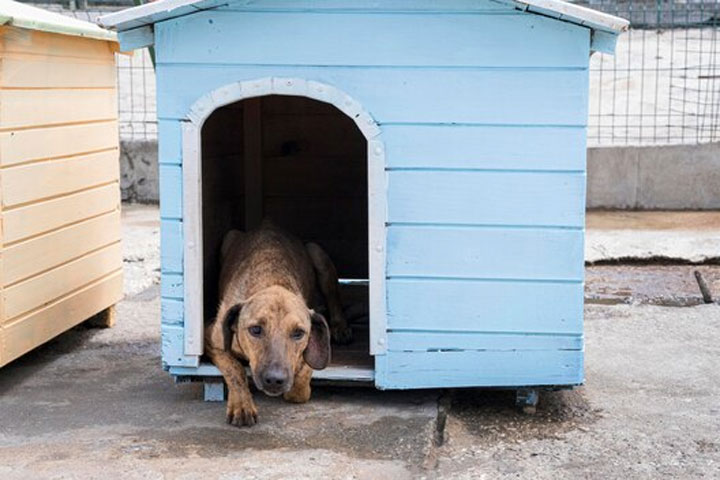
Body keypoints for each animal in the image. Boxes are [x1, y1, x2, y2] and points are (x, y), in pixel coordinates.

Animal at [202, 219, 352, 426]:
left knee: (334, 296)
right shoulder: (211, 339)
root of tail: (268, 223)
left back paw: (340, 326)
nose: (275, 380)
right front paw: (242, 404)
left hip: (317, 253)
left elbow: (300, 384)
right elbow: (235, 369)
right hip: (229, 237)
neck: (272, 281)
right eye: (255, 330)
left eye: (298, 333)